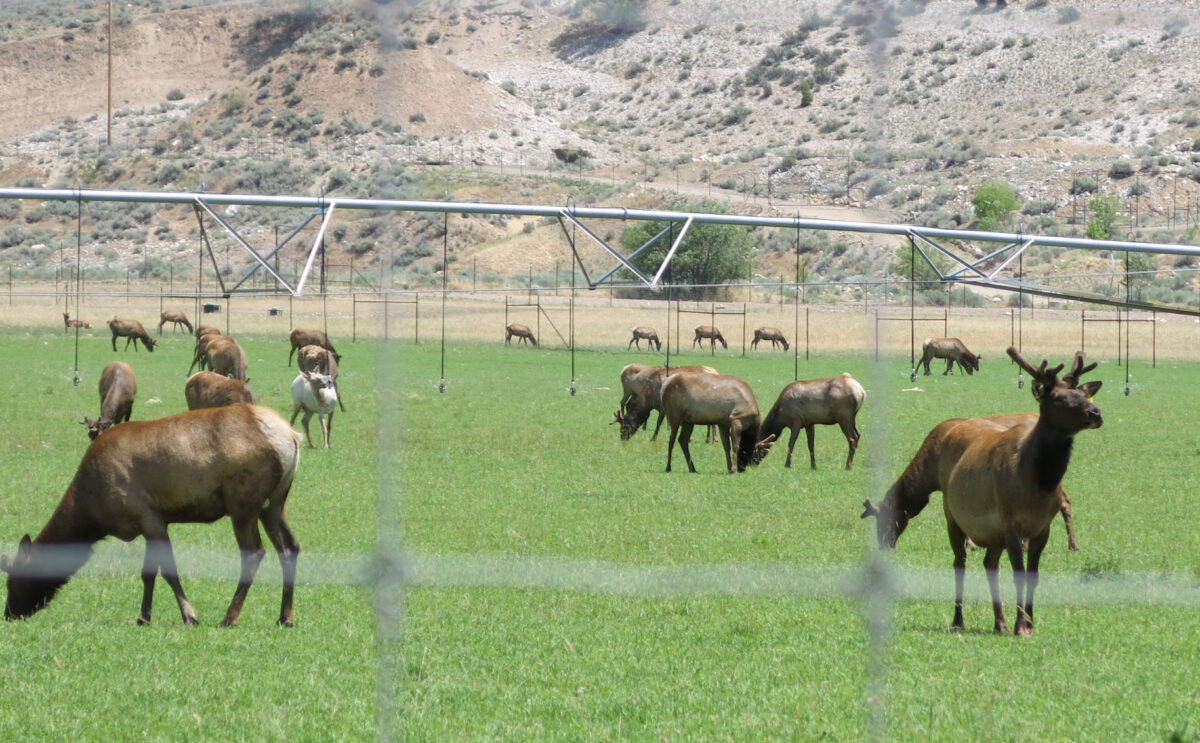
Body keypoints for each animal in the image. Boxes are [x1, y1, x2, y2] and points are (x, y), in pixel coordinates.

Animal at [1, 404, 301, 627]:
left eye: (13, 580)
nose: (10, 613)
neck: (91, 510)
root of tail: (291, 436)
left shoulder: (147, 514)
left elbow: (168, 570)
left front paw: (190, 615)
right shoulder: (151, 521)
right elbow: (148, 572)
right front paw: (144, 617)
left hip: (243, 503)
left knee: (254, 552)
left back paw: (229, 618)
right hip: (274, 504)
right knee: (290, 547)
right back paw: (285, 617)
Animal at [861, 347, 1102, 636]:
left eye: (1082, 395)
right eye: (1057, 396)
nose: (1096, 412)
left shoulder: (1041, 527)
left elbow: (1032, 576)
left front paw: (1028, 624)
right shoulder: (1009, 522)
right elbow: (1017, 572)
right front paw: (1021, 624)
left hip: (989, 528)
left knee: (989, 564)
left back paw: (999, 622)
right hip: (963, 517)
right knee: (962, 563)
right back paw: (961, 619)